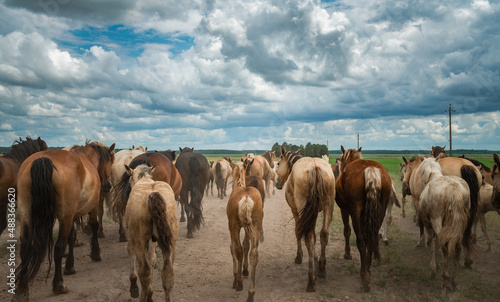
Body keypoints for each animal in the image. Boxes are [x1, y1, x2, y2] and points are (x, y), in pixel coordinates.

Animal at [13, 141, 116, 300]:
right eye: (110, 160)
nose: (108, 185)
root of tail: (43, 160)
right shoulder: (90, 208)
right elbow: (93, 227)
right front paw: (95, 253)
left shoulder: (71, 216)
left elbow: (72, 237)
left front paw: (70, 266)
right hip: (64, 218)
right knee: (58, 248)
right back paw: (59, 285)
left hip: (26, 216)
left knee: (24, 247)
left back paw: (22, 289)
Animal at [124, 165, 178, 302]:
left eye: (129, 179)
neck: (145, 179)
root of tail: (153, 195)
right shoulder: (154, 241)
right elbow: (152, 259)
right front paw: (150, 293)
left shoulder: (133, 238)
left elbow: (130, 251)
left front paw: (134, 287)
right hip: (171, 242)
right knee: (168, 274)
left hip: (139, 241)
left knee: (144, 272)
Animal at [228, 157, 264, 300]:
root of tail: (247, 198)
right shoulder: (249, 228)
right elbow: (246, 245)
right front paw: (245, 270)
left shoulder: (232, 227)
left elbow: (234, 248)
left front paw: (236, 277)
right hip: (256, 225)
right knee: (254, 254)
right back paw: (251, 293)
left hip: (235, 226)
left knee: (237, 249)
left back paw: (239, 283)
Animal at [274, 145, 336, 292]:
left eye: (278, 163)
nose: (277, 183)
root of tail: (315, 167)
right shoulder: (313, 213)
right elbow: (315, 234)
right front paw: (316, 257)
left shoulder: (296, 211)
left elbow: (298, 233)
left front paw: (299, 257)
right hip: (328, 206)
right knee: (323, 234)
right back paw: (321, 269)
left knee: (308, 238)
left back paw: (311, 280)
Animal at [334, 146, 392, 292]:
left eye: (341, 159)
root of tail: (370, 170)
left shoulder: (345, 210)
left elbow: (347, 231)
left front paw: (347, 254)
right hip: (381, 208)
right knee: (372, 237)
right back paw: (368, 268)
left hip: (356, 211)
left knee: (361, 241)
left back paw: (364, 277)